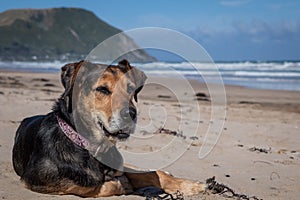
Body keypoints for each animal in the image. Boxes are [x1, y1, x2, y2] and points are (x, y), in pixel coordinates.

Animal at [10, 59, 205, 197]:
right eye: (103, 89)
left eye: (131, 89)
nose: (131, 113)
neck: (95, 148)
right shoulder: (37, 178)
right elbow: (87, 185)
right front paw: (119, 184)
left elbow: (151, 175)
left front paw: (192, 186)